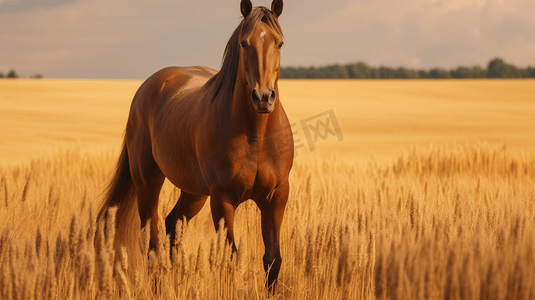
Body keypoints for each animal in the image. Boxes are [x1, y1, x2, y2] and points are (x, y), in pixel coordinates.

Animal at [99, 0, 296, 290]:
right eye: (244, 43)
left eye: (279, 43)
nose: (263, 97)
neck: (257, 135)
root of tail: (148, 88)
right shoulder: (223, 199)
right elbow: (229, 256)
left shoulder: (277, 197)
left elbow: (272, 260)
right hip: (148, 183)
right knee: (152, 241)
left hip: (194, 192)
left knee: (172, 225)